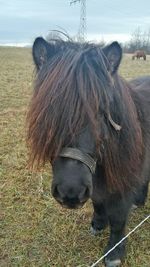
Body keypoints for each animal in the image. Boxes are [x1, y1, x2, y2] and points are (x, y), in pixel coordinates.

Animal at [27, 36, 150, 267]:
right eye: (49, 110)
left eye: (101, 111)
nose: (70, 193)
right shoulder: (94, 182)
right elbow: (98, 201)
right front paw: (98, 224)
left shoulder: (123, 185)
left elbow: (118, 218)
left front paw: (114, 253)